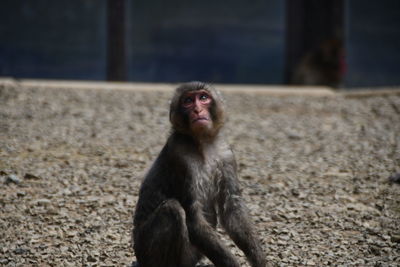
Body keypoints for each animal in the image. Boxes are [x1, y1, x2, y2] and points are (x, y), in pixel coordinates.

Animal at [133, 82, 268, 267]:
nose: (197, 110)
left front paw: (259, 260)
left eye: (203, 98)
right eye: (188, 101)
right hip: (145, 250)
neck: (202, 143)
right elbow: (194, 218)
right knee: (172, 209)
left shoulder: (226, 155)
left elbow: (232, 209)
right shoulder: (179, 156)